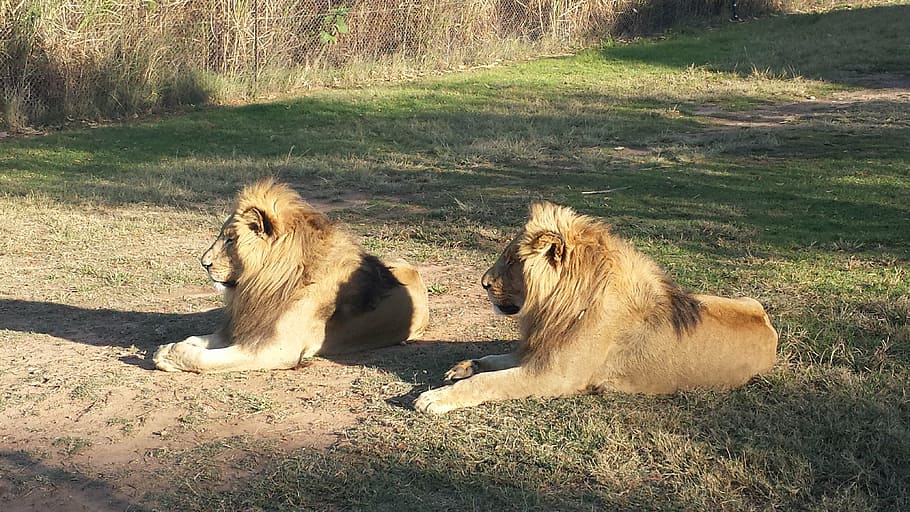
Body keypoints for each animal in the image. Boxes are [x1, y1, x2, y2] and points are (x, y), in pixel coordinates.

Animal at [154, 179, 432, 372]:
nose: (204, 263)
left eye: (231, 239)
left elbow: (206, 358)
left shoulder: (276, 349)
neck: (261, 284)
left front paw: (169, 356)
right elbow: (199, 339)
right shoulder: (247, 328)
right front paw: (170, 346)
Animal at [416, 201, 780, 416]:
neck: (557, 307)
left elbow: (489, 382)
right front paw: (463, 366)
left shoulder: (555, 376)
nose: (483, 283)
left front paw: (436, 398)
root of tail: (768, 326)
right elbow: (491, 361)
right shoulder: (539, 353)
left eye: (513, 260)